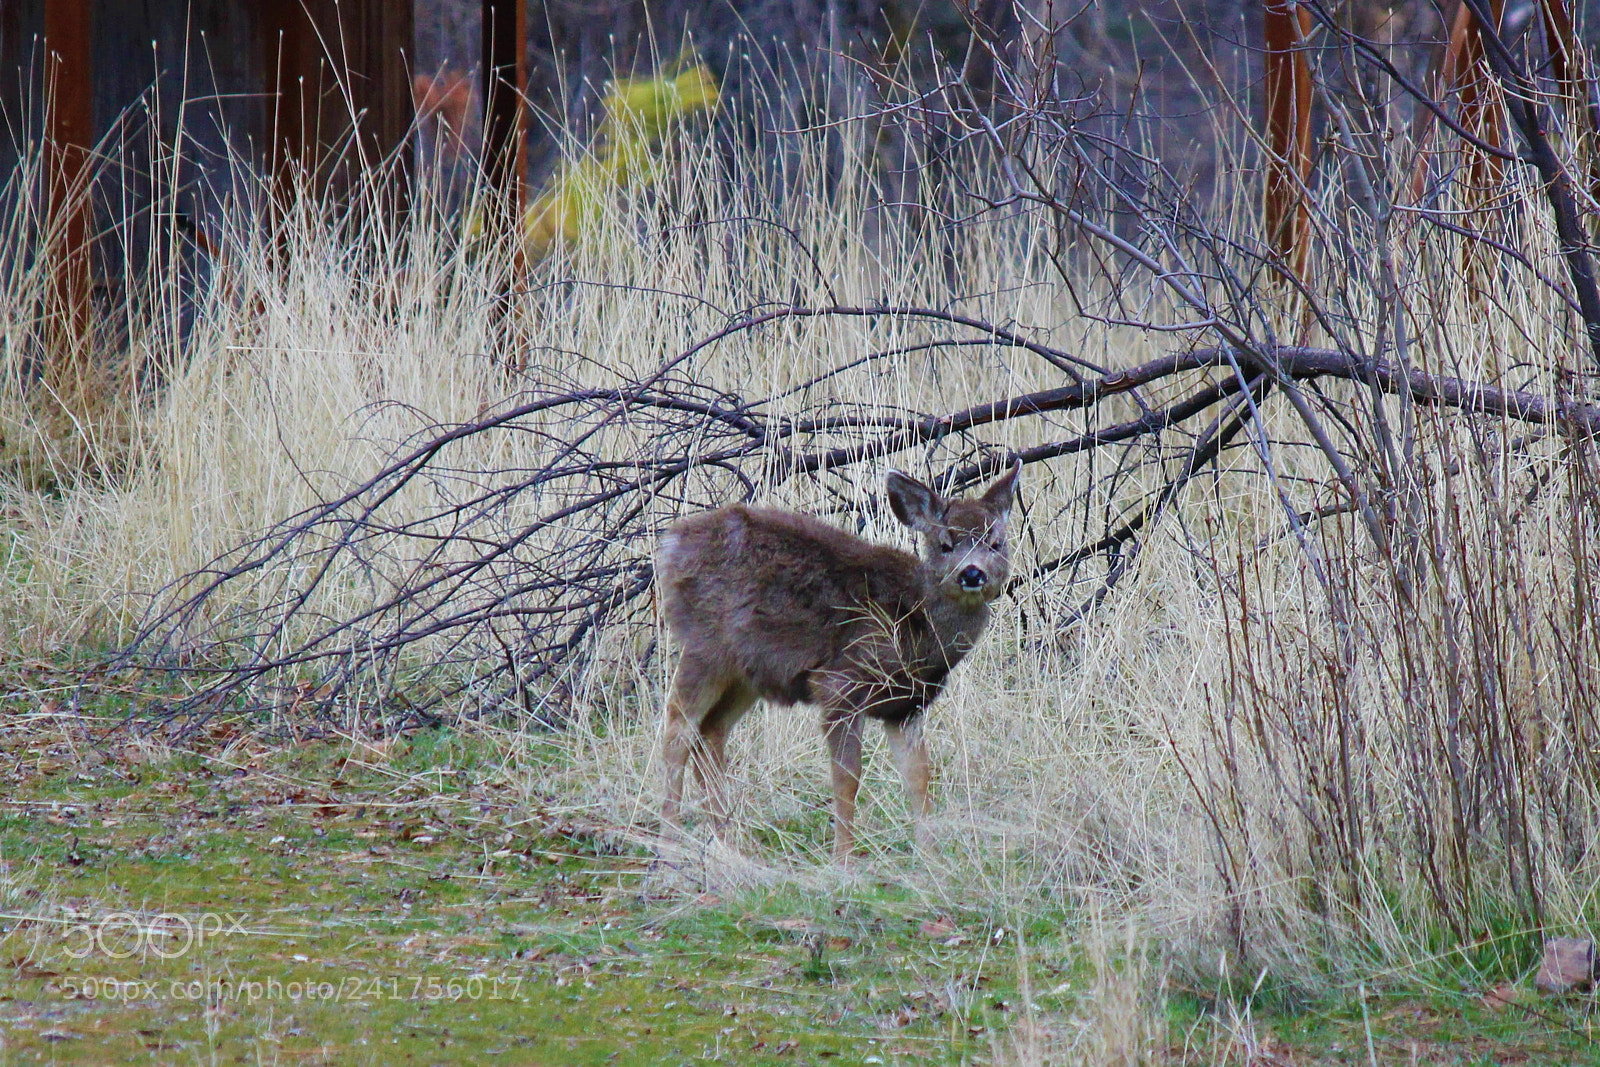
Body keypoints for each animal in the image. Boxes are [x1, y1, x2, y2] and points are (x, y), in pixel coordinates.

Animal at [655, 460, 1021, 862]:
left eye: (996, 543)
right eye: (946, 544)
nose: (972, 573)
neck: (915, 625)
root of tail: (671, 543)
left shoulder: (906, 706)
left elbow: (920, 777)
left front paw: (931, 857)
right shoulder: (841, 684)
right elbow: (848, 778)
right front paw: (844, 858)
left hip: (748, 672)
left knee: (710, 733)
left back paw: (730, 844)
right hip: (706, 646)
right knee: (677, 728)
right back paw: (670, 842)